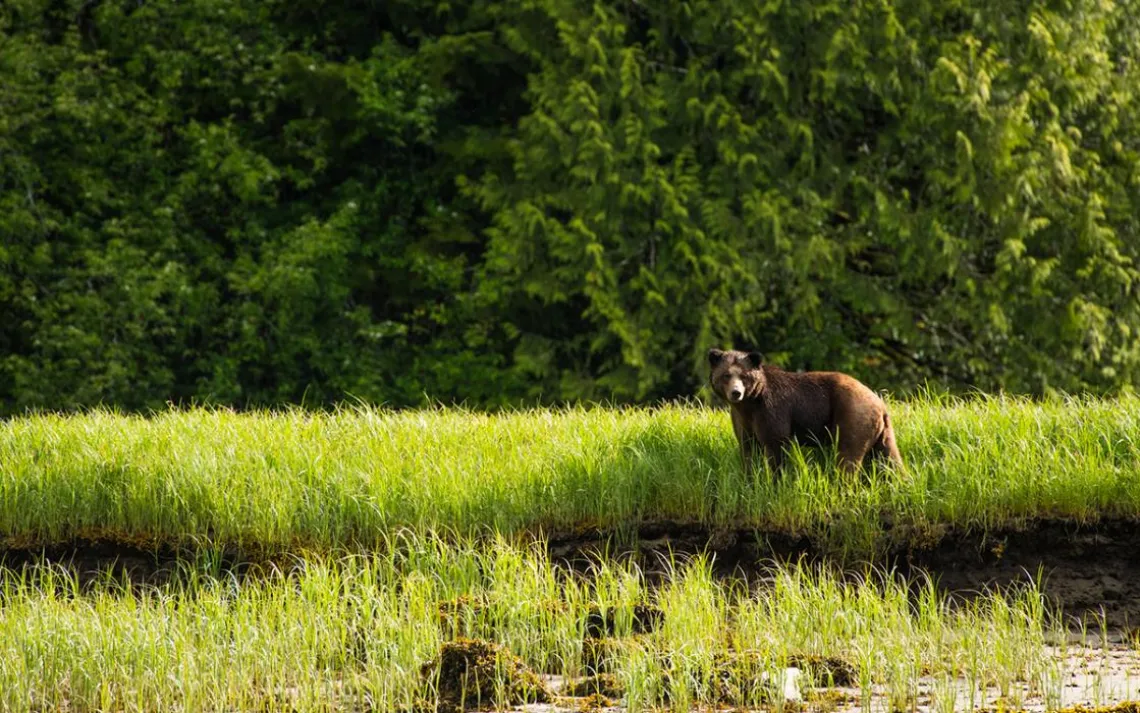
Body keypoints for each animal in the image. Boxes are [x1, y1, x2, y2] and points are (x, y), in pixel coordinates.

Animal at [707, 348, 903, 475]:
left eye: (743, 376)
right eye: (726, 375)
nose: (736, 392)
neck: (750, 402)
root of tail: (879, 402)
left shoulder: (771, 411)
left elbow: (775, 445)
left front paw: (775, 481)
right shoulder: (741, 418)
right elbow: (747, 448)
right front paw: (750, 479)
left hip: (852, 415)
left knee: (848, 455)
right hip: (882, 430)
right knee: (890, 458)